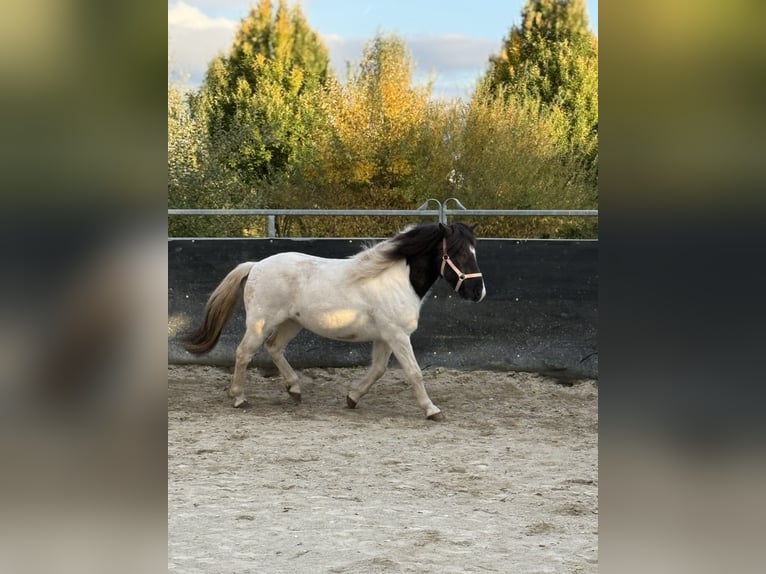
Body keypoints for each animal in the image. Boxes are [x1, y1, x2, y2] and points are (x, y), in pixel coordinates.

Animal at [183, 222, 485, 420]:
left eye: (474, 251)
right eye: (458, 254)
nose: (478, 292)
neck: (398, 280)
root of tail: (256, 265)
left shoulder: (385, 336)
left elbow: (378, 370)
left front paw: (352, 398)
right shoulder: (398, 336)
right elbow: (414, 373)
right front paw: (432, 410)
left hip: (291, 323)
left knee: (274, 348)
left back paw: (295, 389)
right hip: (261, 322)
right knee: (244, 353)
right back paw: (238, 398)